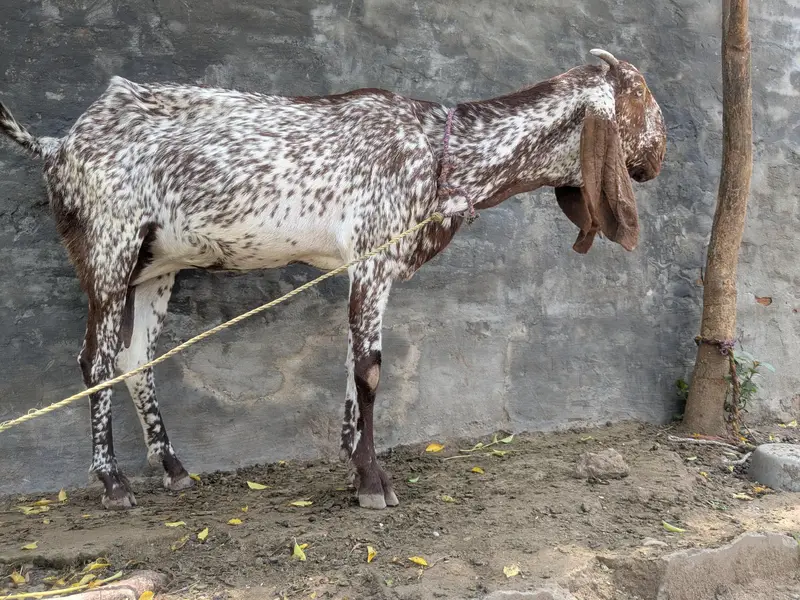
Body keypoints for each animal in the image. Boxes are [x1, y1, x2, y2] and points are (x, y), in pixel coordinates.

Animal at [0, 49, 666, 510]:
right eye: (640, 98)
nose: (658, 157)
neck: (443, 153)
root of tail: (58, 145)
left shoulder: (362, 267)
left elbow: (353, 362)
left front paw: (354, 464)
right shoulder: (373, 253)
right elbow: (370, 368)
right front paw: (373, 482)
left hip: (155, 263)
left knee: (135, 358)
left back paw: (173, 470)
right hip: (107, 246)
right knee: (96, 360)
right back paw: (113, 482)